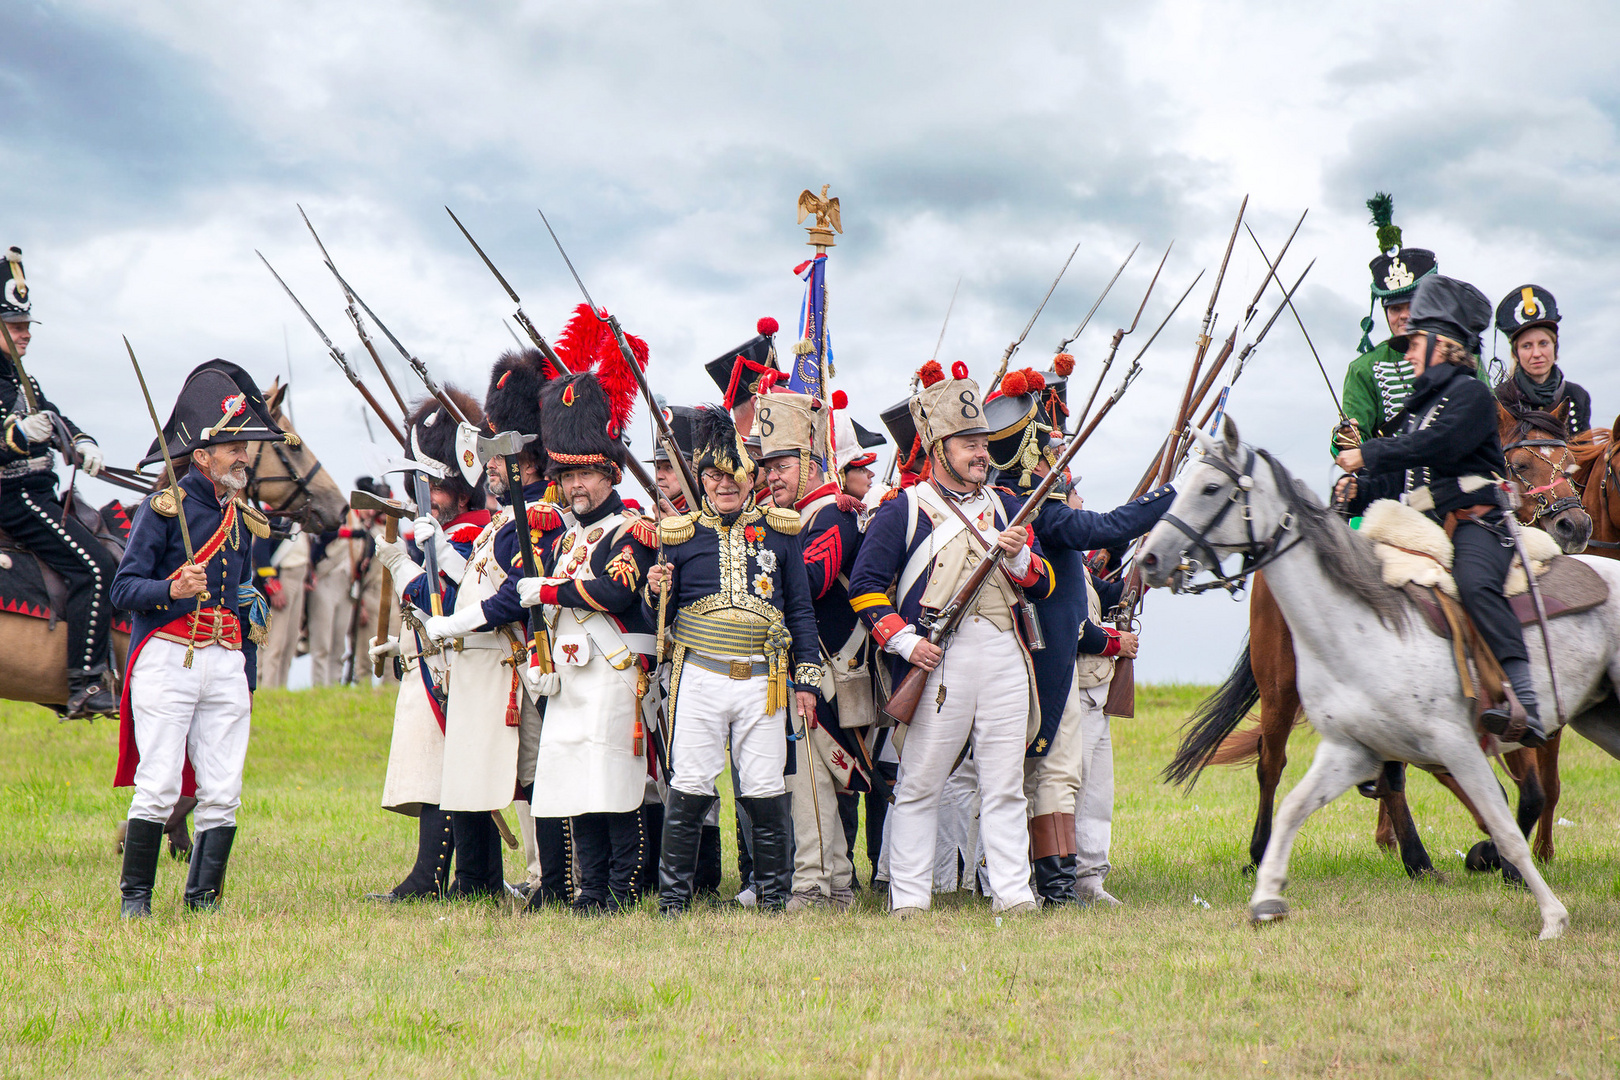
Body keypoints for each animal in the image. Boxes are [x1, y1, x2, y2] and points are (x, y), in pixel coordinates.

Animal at [1134, 417, 1620, 939]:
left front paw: (1531, 895)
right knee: (1275, 764)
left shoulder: (1434, 743)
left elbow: (1517, 808)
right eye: (1521, 464)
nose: (1150, 558)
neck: (1364, 621)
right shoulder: (1394, 746)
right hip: (1279, 690)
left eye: (1210, 488)